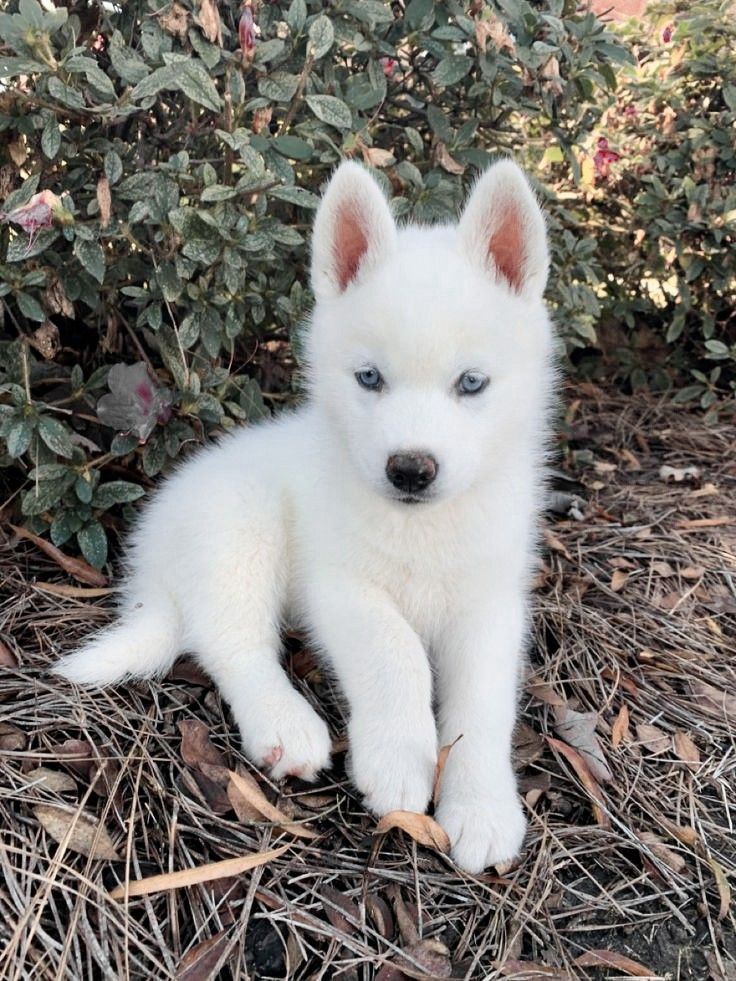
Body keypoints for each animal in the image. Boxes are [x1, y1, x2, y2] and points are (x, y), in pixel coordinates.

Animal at [54, 161, 556, 872]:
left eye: (472, 383)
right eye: (369, 378)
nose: (410, 469)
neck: (421, 528)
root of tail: (151, 562)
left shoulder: (490, 603)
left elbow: (484, 704)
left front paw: (482, 804)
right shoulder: (341, 587)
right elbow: (395, 653)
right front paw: (398, 759)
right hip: (239, 526)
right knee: (231, 642)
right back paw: (284, 723)